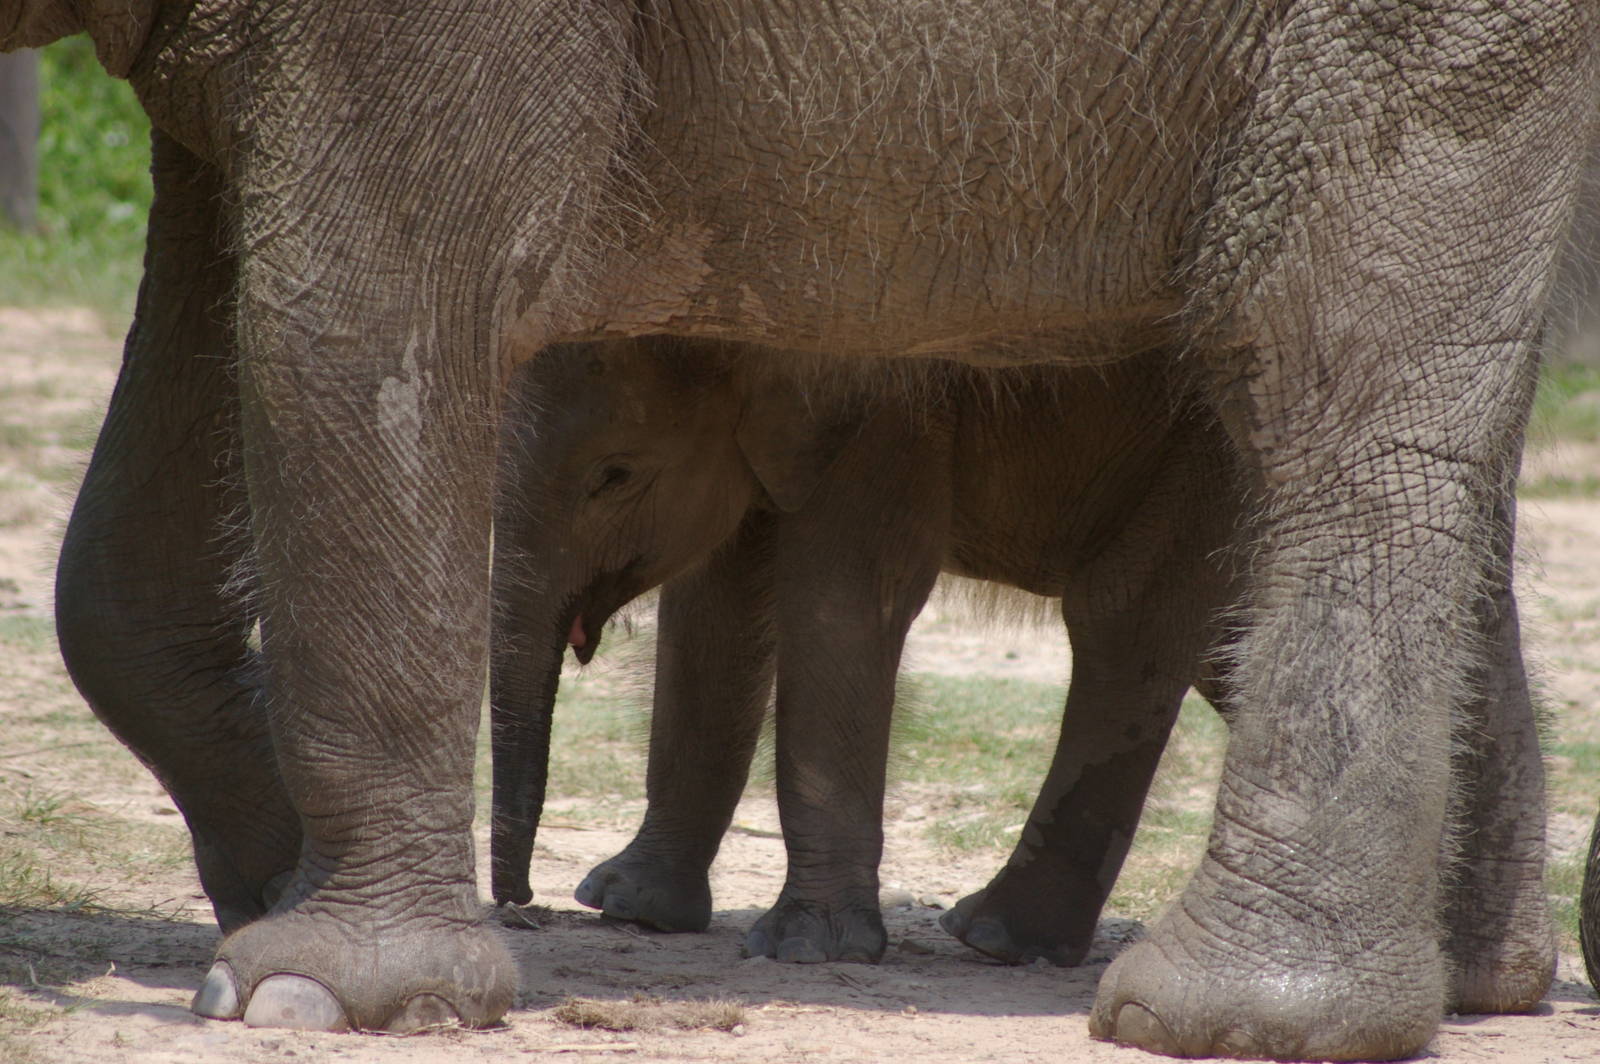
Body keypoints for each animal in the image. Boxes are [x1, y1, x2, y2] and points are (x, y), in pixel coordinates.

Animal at [489, 336, 1246, 970]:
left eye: (614, 475)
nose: (517, 903)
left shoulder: (893, 407)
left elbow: (839, 592)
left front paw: (806, 951)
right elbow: (716, 601)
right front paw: (632, 908)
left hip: (1205, 440)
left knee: (1124, 615)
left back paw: (996, 938)